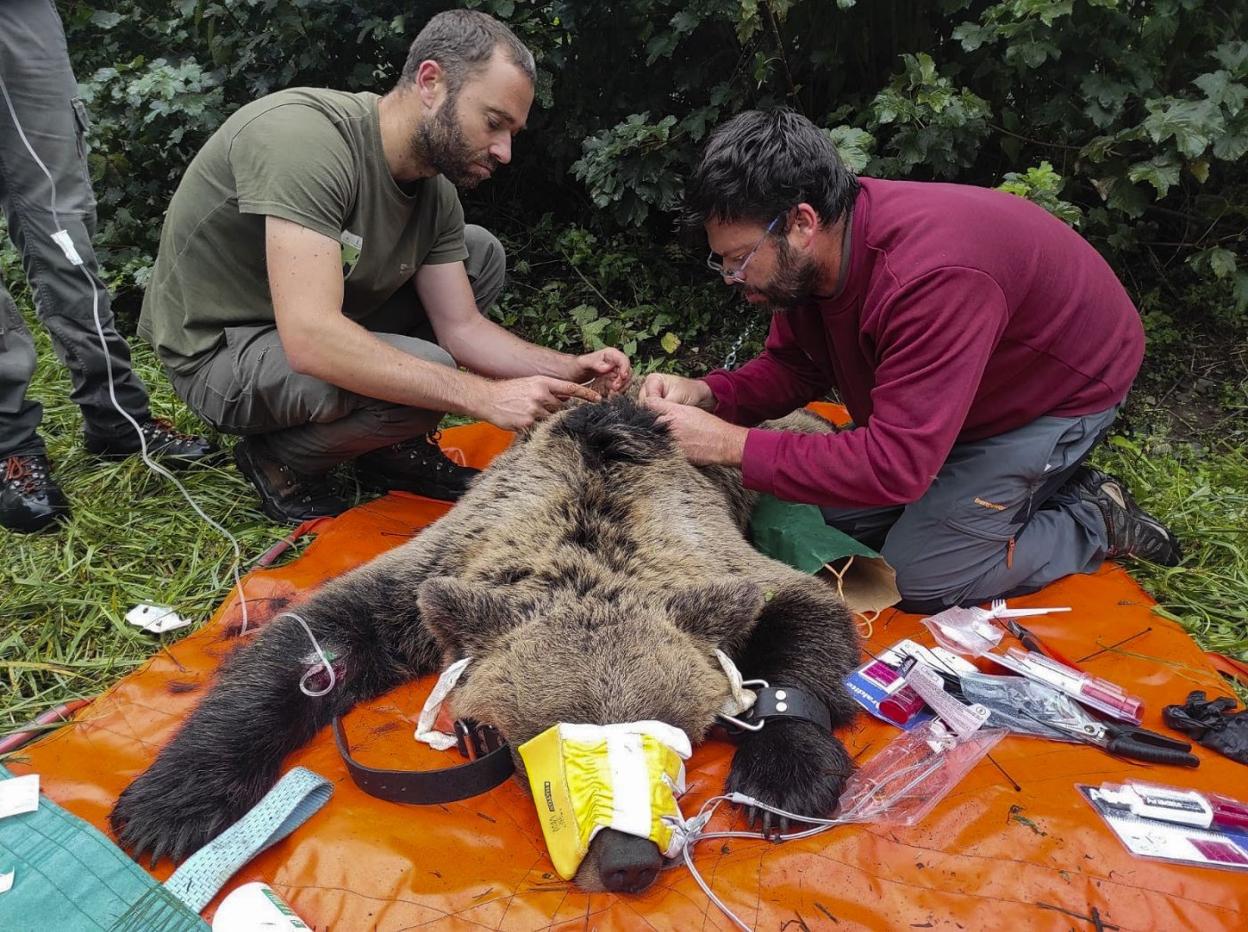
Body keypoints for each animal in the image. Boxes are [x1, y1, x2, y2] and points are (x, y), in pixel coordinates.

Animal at [112, 396, 858, 893]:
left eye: (676, 743)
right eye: (547, 747)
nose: (627, 864)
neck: (587, 537)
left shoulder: (704, 550)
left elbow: (804, 607)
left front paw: (781, 777)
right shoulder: (445, 561)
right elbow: (313, 639)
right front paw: (168, 805)